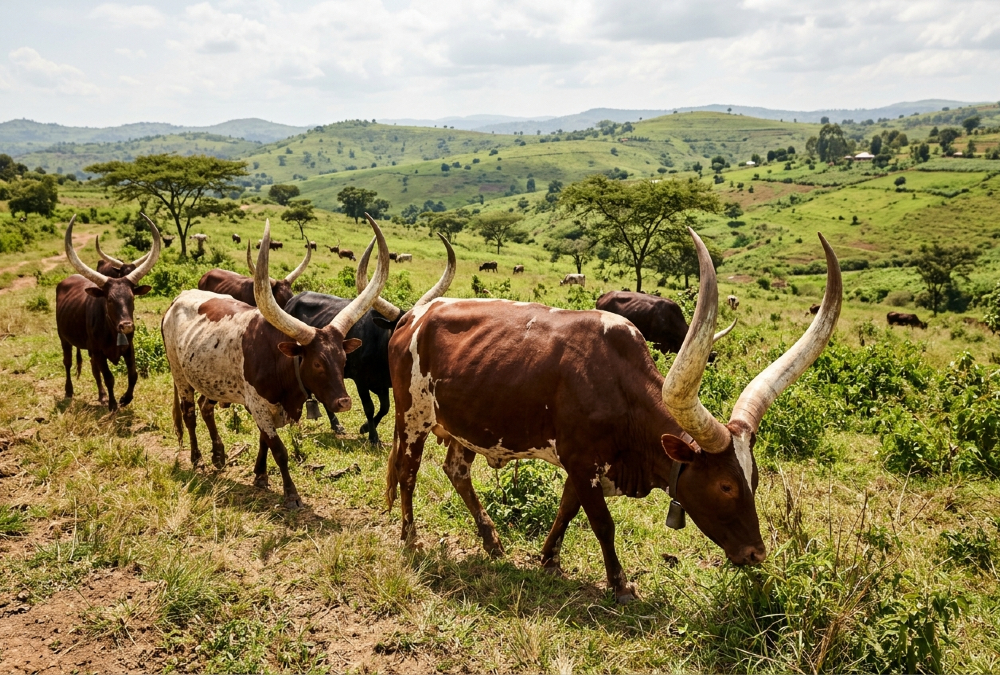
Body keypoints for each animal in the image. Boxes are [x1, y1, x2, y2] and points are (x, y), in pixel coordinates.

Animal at [56, 214, 162, 411]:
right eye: (109, 300)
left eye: (132, 297)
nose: (127, 326)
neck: (112, 331)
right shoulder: (99, 352)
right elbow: (109, 377)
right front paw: (113, 404)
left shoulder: (128, 348)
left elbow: (133, 374)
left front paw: (125, 399)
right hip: (64, 338)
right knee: (68, 363)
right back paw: (69, 391)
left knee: (92, 368)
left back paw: (102, 395)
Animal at [161, 216, 392, 509]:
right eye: (317, 363)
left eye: (342, 359)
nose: (344, 402)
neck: (283, 365)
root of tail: (178, 298)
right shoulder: (258, 405)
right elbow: (279, 449)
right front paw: (291, 493)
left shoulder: (265, 408)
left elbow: (264, 442)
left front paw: (260, 476)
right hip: (180, 374)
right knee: (189, 414)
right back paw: (197, 459)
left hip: (212, 379)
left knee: (205, 407)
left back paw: (218, 455)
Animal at [283, 230, 456, 442]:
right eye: (397, 329)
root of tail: (293, 299)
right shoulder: (361, 382)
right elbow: (370, 407)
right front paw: (373, 436)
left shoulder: (384, 386)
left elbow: (385, 408)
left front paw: (365, 428)